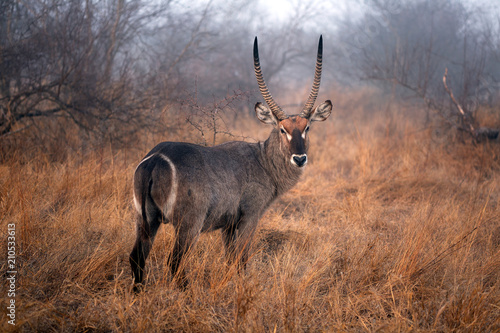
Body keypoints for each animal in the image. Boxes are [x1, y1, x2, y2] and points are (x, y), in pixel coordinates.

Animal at [129, 35, 332, 288]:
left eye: (307, 127)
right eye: (282, 129)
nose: (300, 158)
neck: (263, 161)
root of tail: (155, 159)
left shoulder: (228, 225)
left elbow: (229, 259)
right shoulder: (250, 216)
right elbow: (241, 260)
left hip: (145, 219)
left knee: (137, 257)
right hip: (189, 223)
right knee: (174, 263)